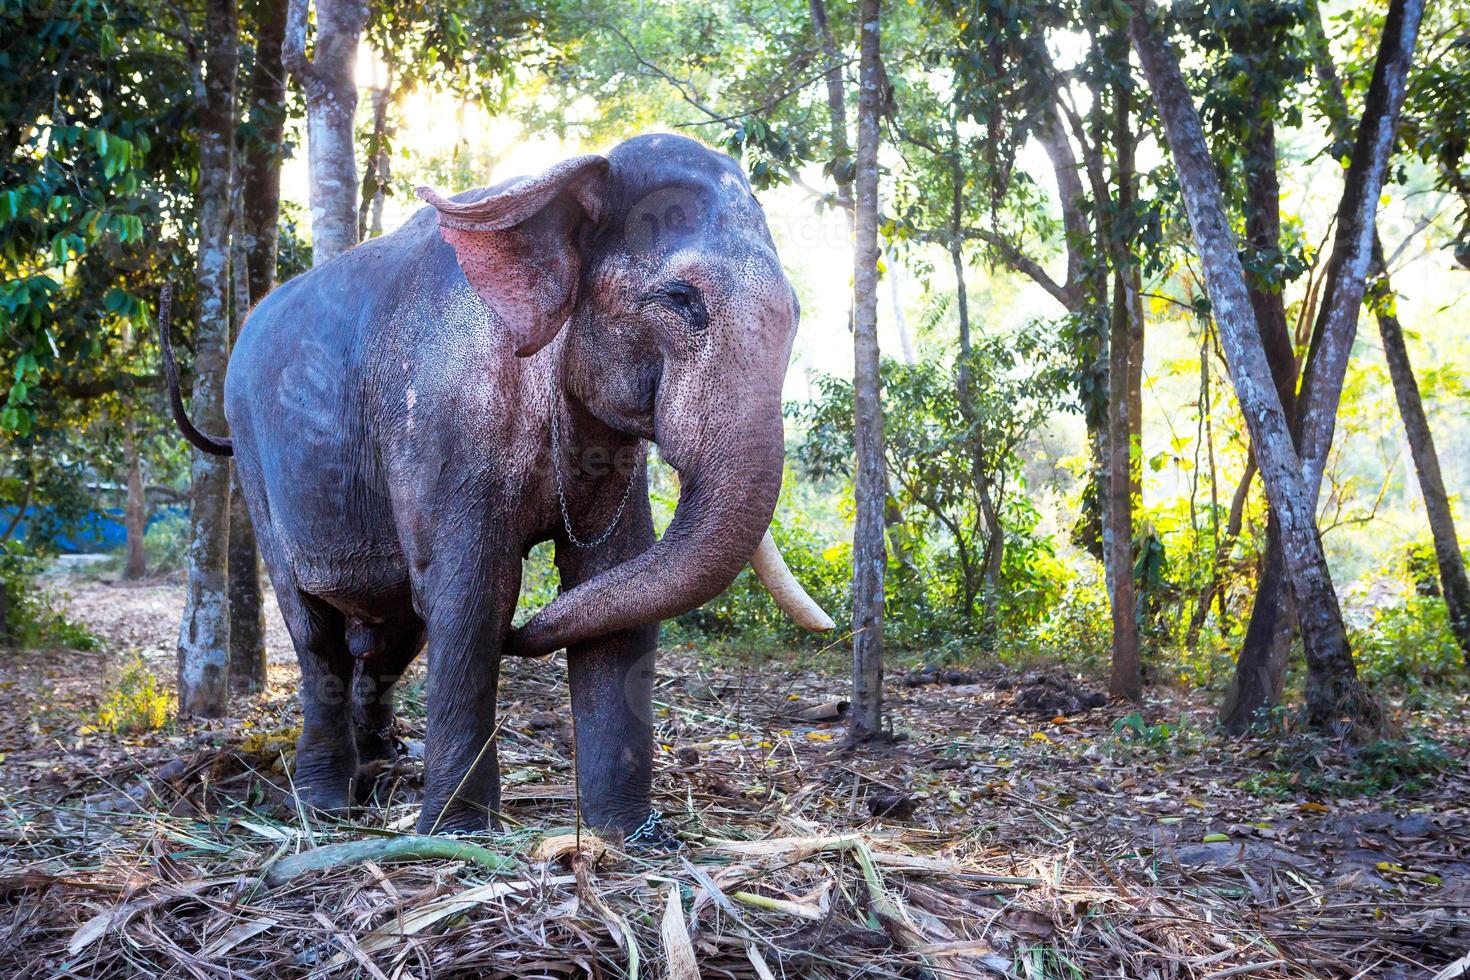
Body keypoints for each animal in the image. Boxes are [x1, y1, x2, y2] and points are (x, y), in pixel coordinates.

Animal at [162, 134, 834, 846]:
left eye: (796, 315)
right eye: (682, 299)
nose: (525, 635)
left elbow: (611, 586)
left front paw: (627, 836)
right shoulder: (446, 422)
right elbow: (473, 592)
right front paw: (456, 834)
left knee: (394, 634)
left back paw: (380, 768)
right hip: (257, 460)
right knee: (316, 634)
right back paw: (324, 807)